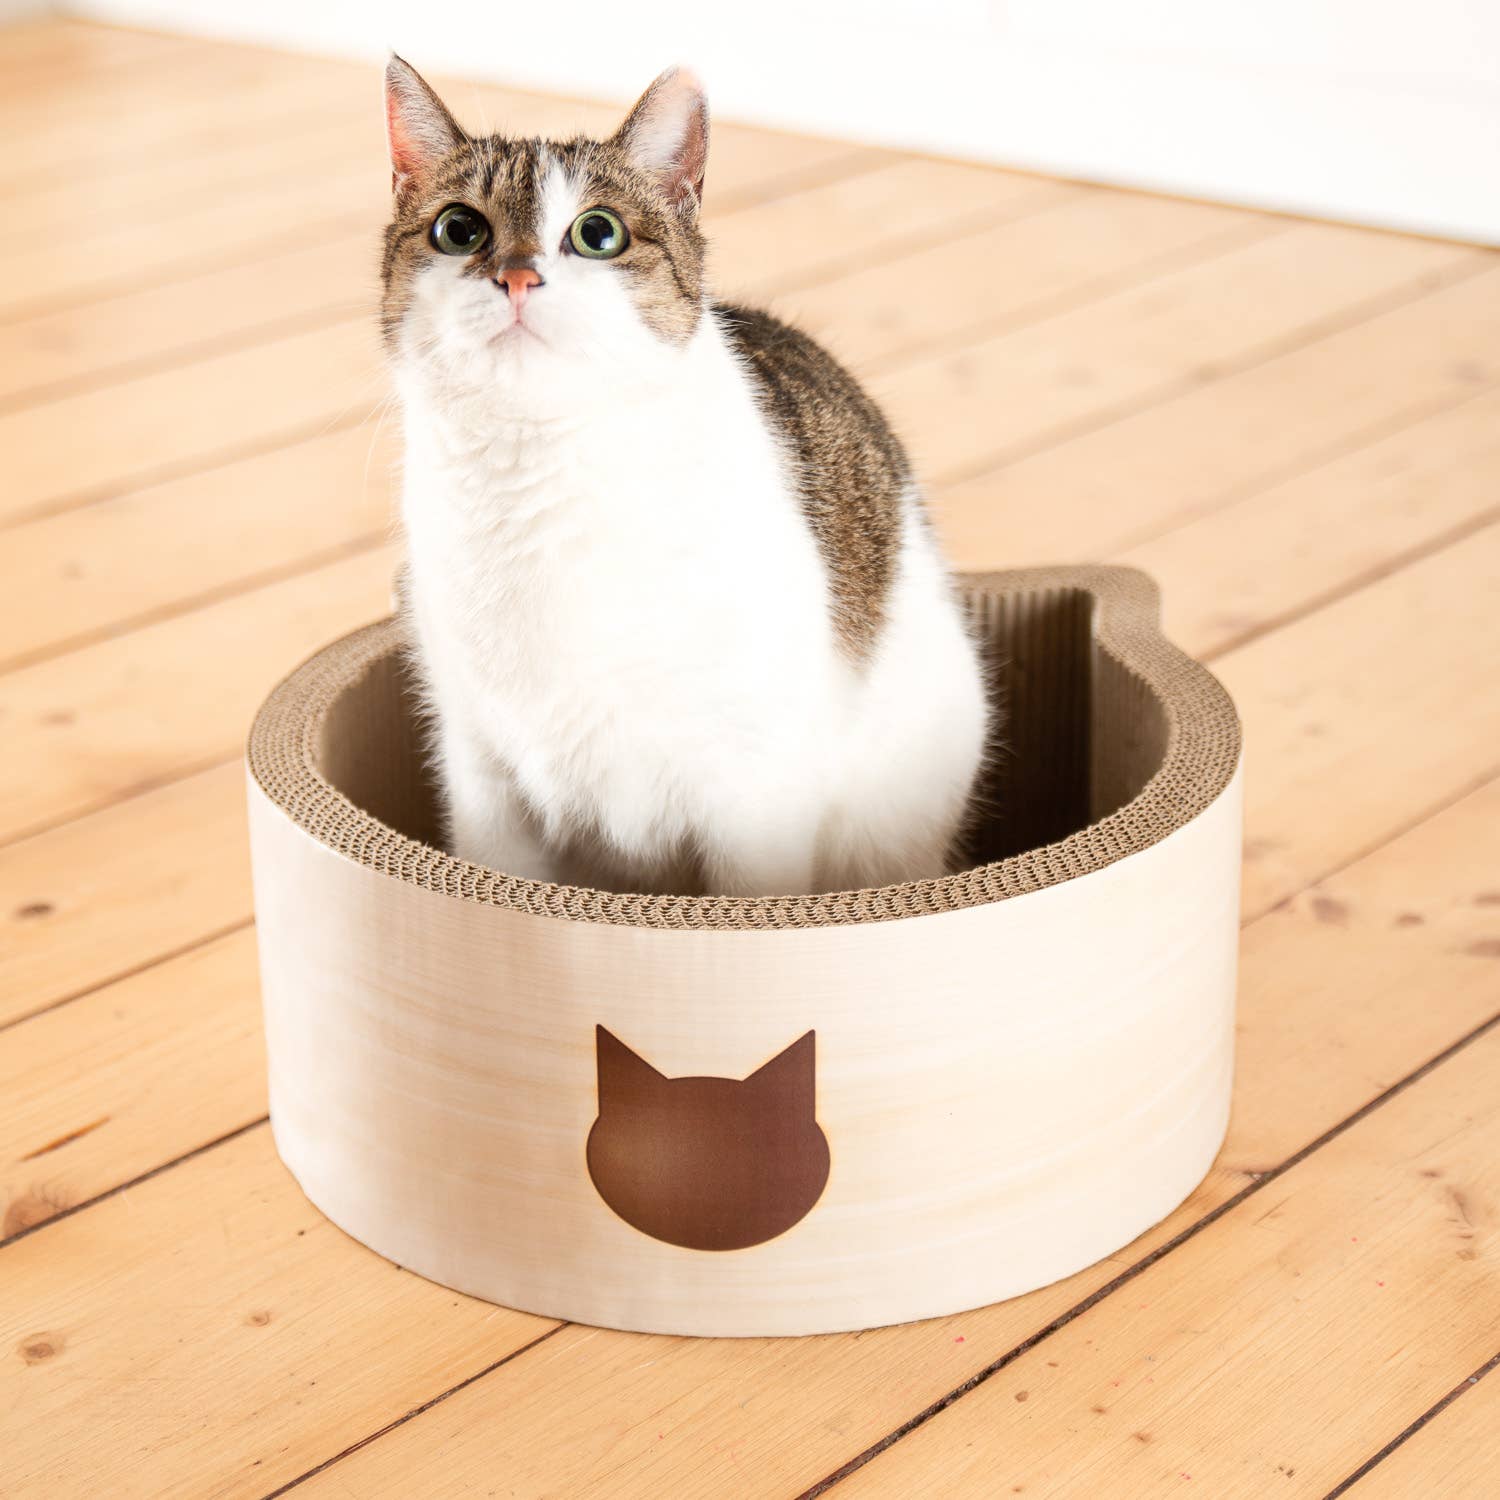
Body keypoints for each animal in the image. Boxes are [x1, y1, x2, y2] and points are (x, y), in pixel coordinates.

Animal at [381, 58, 990, 894]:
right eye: (458, 230)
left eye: (596, 233)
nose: (517, 278)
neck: (539, 473)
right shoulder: (485, 781)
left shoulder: (754, 789)